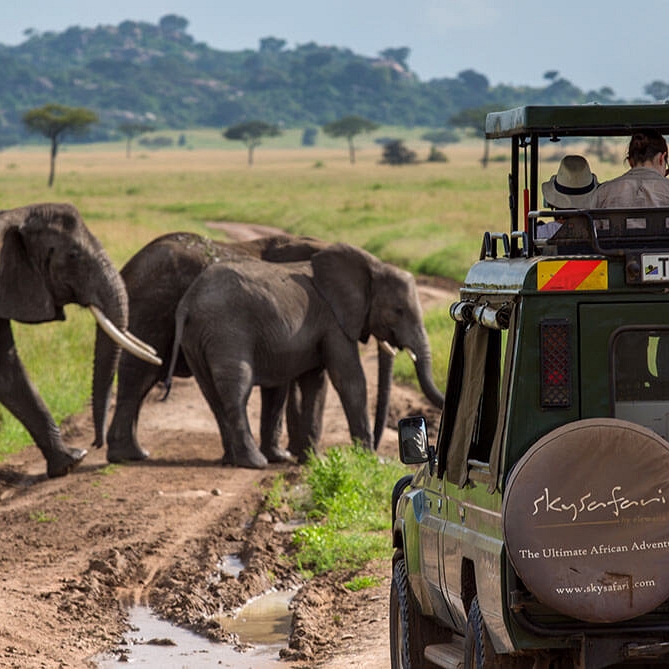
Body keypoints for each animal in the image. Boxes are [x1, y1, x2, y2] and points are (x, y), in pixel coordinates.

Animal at [0, 201, 160, 478]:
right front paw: (75, 459)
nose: (95, 444)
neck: (16, 215)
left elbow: (8, 371)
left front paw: (71, 461)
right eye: (73, 256)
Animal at [162, 243, 444, 468]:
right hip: (226, 332)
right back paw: (254, 462)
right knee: (237, 388)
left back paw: (231, 460)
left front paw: (313, 460)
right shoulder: (334, 322)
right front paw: (366, 459)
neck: (372, 266)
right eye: (398, 310)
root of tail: (187, 302)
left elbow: (315, 384)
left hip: (196, 339)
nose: (379, 452)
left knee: (211, 395)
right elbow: (349, 380)